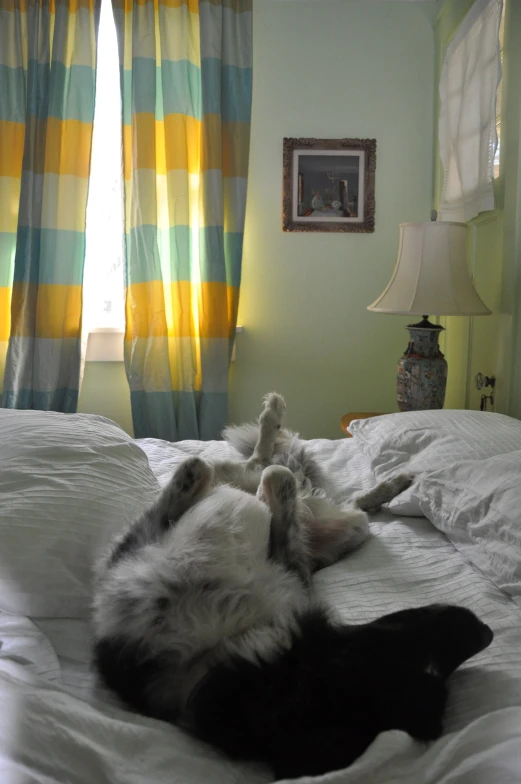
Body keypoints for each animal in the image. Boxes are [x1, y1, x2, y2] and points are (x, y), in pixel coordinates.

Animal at [91, 392, 494, 776]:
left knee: (296, 479)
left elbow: (271, 488)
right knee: (268, 469)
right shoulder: (126, 570)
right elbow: (246, 485)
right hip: (320, 515)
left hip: (349, 527)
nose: (485, 631)